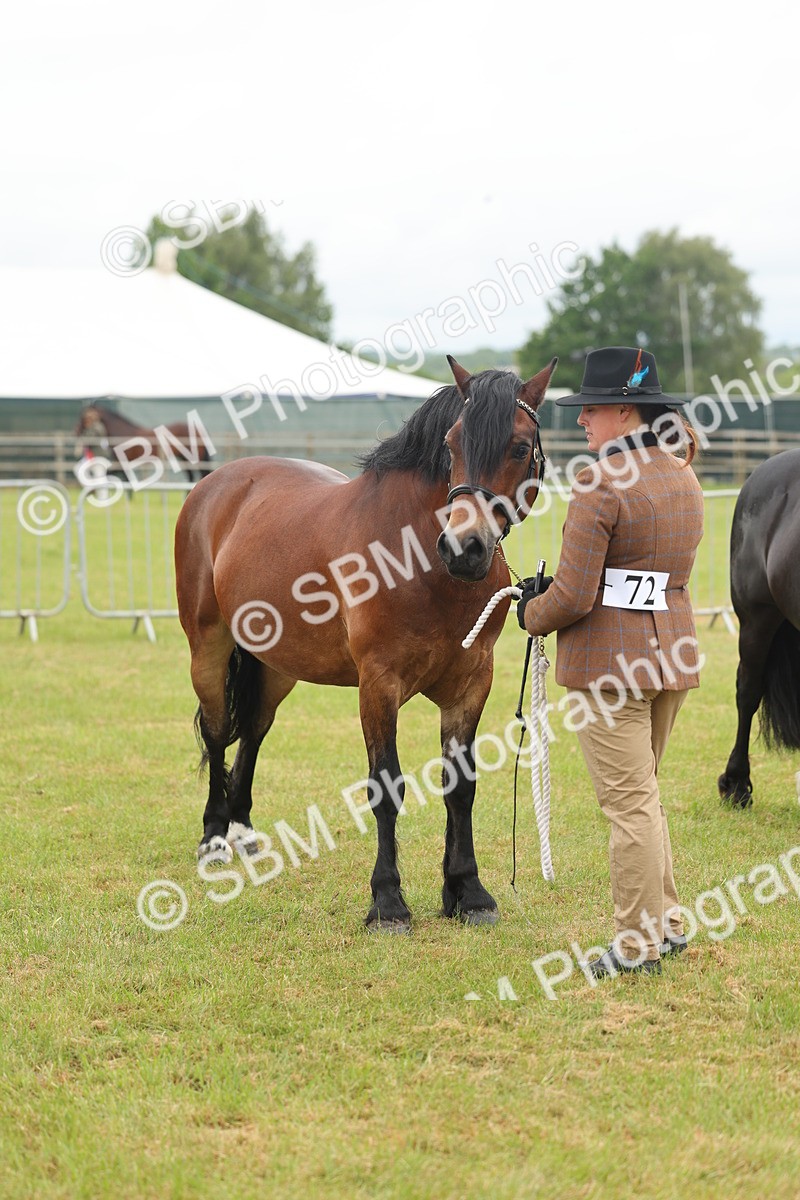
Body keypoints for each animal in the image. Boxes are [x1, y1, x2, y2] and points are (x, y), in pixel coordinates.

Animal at [74, 401, 212, 483]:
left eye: (83, 417)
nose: (76, 431)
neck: (124, 432)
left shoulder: (123, 463)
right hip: (184, 458)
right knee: (191, 476)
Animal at [174, 356, 557, 931]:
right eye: (451, 443)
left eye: (518, 447)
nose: (463, 549)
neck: (416, 560)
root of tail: (216, 485)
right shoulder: (378, 684)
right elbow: (386, 786)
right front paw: (388, 902)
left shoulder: (472, 683)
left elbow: (460, 786)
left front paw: (467, 892)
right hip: (208, 649)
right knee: (220, 731)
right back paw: (216, 838)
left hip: (277, 667)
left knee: (255, 732)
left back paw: (242, 831)